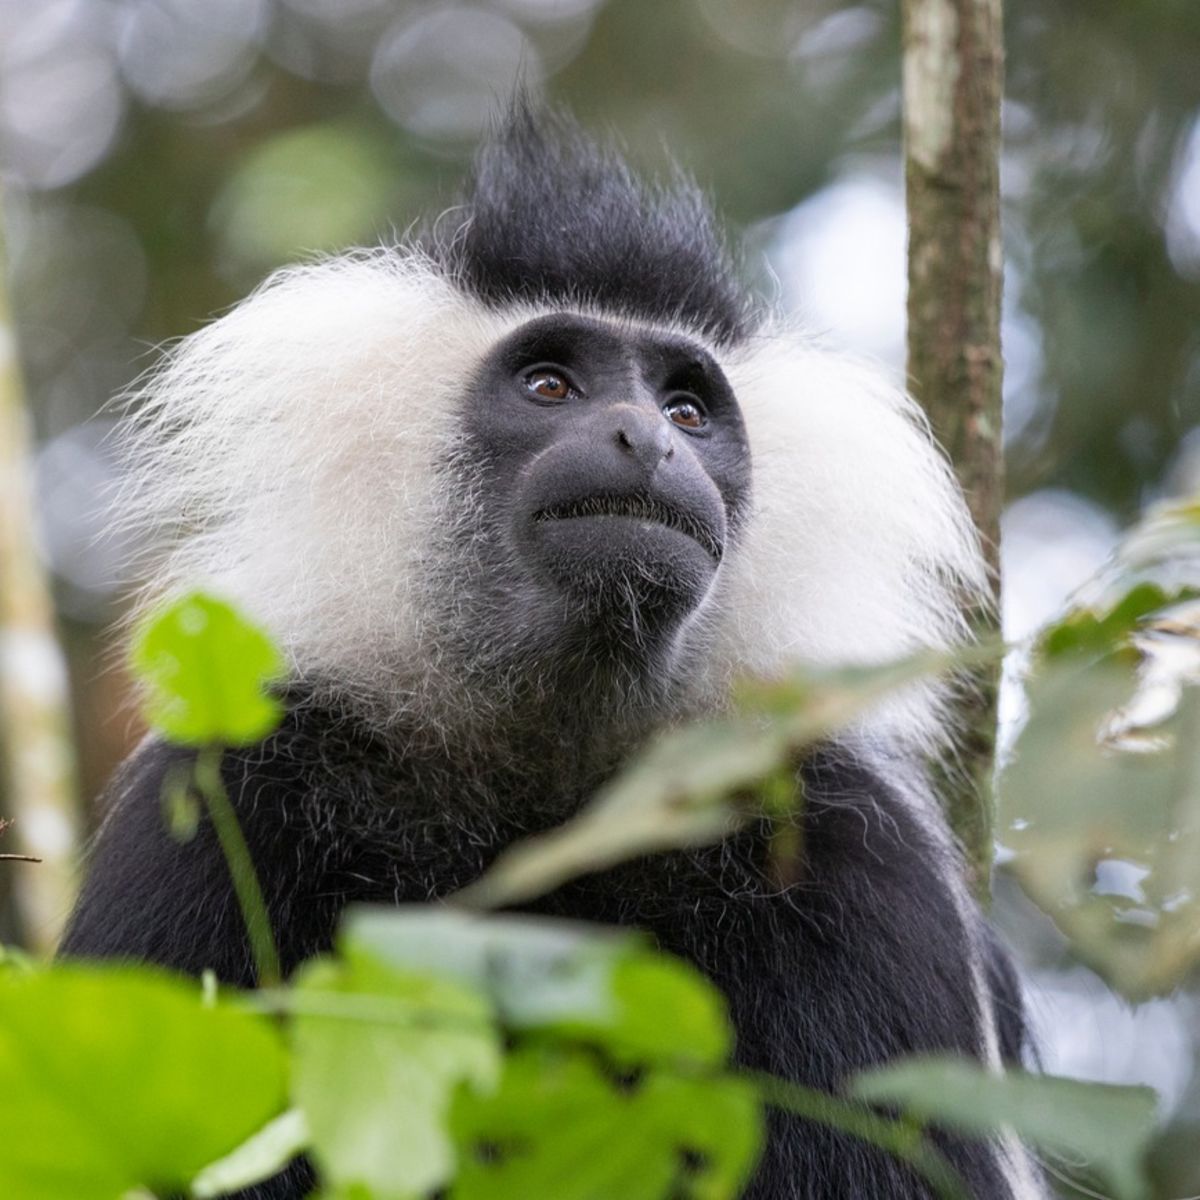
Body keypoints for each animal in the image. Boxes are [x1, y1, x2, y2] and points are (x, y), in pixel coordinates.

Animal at [60, 108, 1046, 1195]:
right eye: (550, 384)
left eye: (688, 410)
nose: (645, 439)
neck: (554, 780)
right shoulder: (221, 803)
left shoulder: (857, 858)